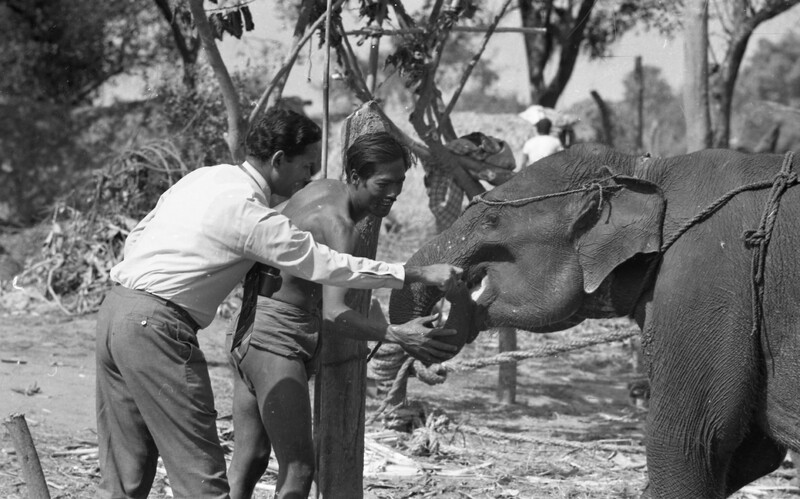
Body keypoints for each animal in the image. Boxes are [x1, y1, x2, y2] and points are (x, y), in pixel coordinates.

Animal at [389, 143, 800, 498]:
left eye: (491, 220)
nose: (453, 280)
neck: (648, 170)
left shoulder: (707, 279)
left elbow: (692, 440)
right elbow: (753, 449)